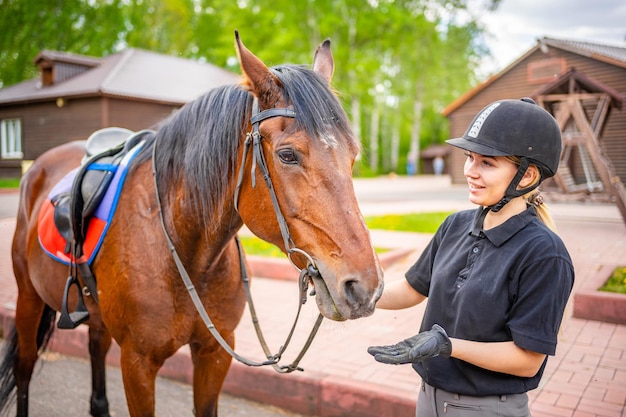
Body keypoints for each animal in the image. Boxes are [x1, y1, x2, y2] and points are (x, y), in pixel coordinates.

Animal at [0, 33, 382, 416]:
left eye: (353, 156)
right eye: (287, 155)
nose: (364, 286)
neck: (186, 253)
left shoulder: (214, 354)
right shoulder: (137, 363)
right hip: (28, 296)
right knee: (24, 366)